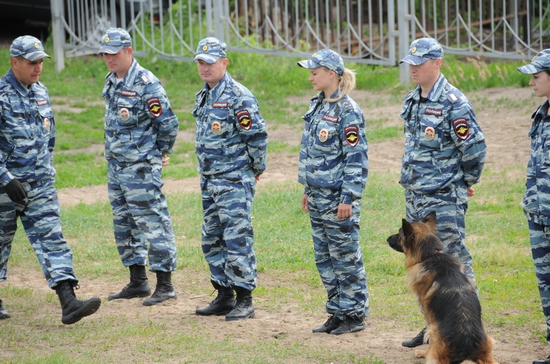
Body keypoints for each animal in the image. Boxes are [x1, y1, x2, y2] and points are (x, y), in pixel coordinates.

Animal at [388, 212, 500, 362]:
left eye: (400, 233)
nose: (387, 238)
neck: (430, 255)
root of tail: (467, 347)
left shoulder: (430, 318)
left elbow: (428, 338)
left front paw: (424, 352)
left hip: (436, 333)